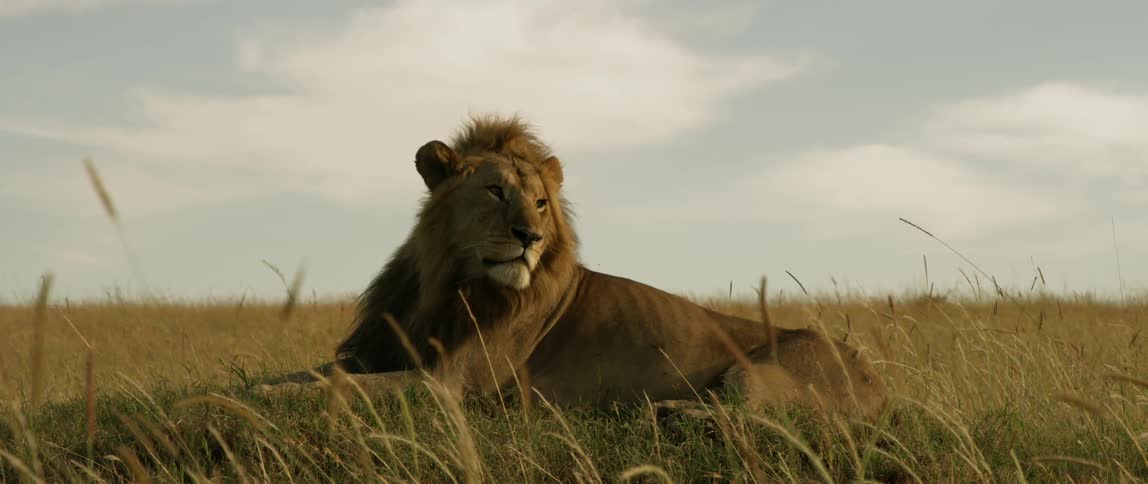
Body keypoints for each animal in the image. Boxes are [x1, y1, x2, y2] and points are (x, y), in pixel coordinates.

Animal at [257, 115, 887, 419]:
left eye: (540, 203)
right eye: (494, 192)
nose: (530, 238)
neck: (448, 284)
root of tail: (876, 378)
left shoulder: (450, 386)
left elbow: (345, 386)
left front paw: (264, 396)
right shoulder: (383, 352)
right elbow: (316, 373)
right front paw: (261, 386)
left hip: (757, 369)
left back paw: (675, 413)